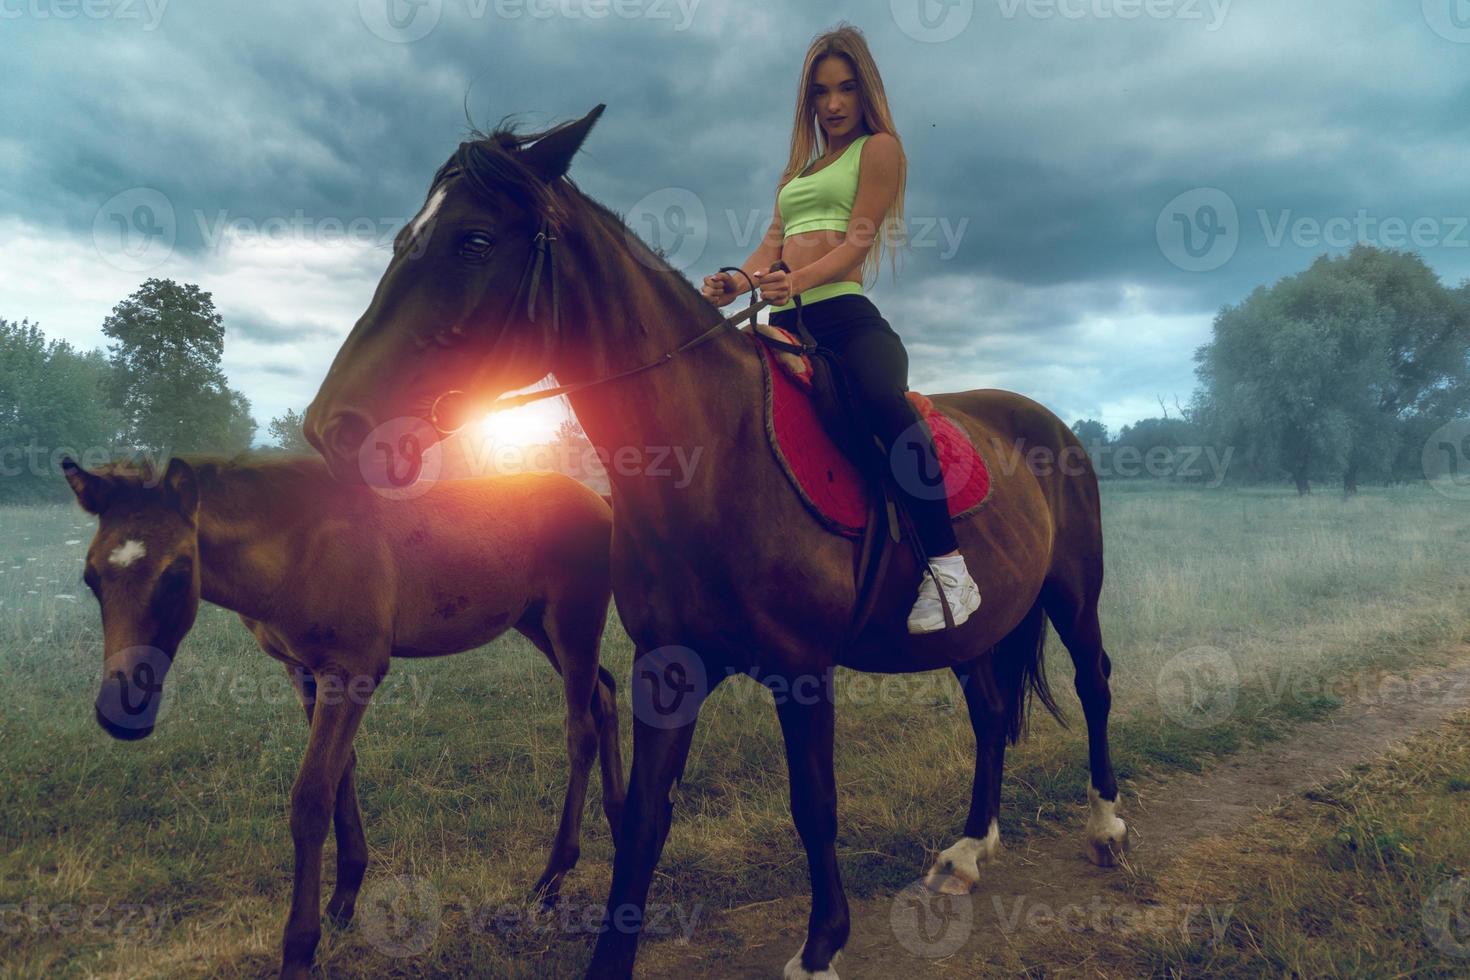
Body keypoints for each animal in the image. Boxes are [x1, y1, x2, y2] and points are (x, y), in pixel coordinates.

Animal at [301, 103, 1123, 975]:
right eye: (403, 237)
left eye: (477, 240)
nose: (331, 424)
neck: (713, 456)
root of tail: (1044, 418)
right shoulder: (669, 669)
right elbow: (642, 823)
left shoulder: (802, 673)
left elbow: (813, 804)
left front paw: (820, 948)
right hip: (973, 631)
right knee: (991, 712)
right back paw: (968, 852)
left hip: (1074, 594)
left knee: (1094, 683)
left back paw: (1106, 826)